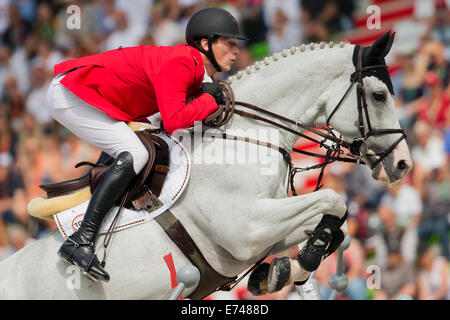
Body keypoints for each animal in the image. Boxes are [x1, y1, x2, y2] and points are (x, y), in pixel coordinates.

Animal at [0, 31, 412, 298]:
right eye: (379, 95)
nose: (404, 164)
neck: (249, 134)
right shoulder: (246, 228)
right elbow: (334, 201)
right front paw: (296, 264)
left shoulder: (259, 234)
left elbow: (332, 224)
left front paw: (278, 272)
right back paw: (81, 253)